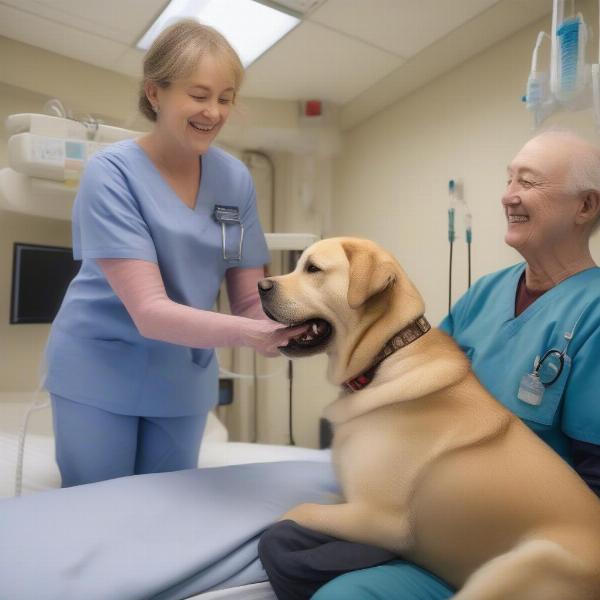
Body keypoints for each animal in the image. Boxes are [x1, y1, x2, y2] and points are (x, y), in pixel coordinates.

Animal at [260, 237, 600, 596]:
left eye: (313, 269)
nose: (260, 285)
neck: (387, 355)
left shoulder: (378, 518)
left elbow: (294, 511)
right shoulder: (348, 499)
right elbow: (320, 498)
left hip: (519, 565)